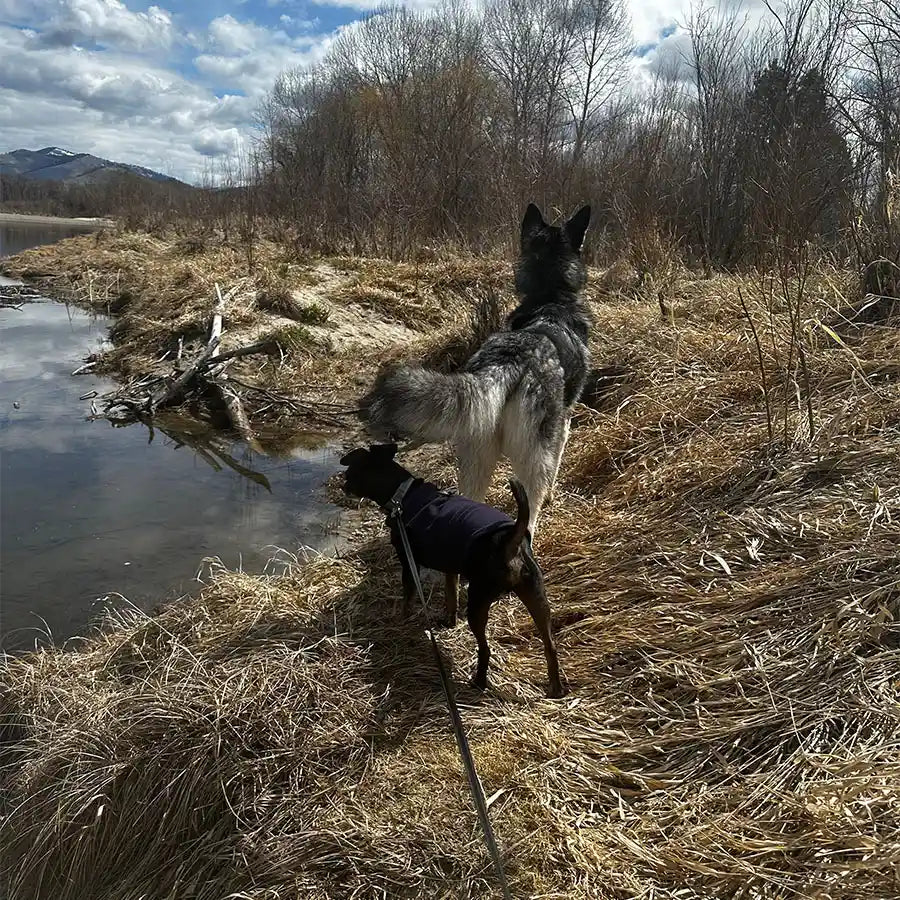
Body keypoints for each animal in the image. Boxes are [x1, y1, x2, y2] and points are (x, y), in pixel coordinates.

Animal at [340, 442, 564, 696]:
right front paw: (449, 622)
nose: (343, 485)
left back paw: (478, 682)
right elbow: (451, 595)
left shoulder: (409, 563)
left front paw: (402, 621)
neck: (402, 495)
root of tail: (510, 541)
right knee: (550, 645)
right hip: (536, 595)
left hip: (479, 601)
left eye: (351, 472)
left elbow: (408, 597)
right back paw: (556, 689)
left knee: (485, 649)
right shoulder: (450, 567)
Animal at [358, 200, 592, 532]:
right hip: (532, 460)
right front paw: (552, 496)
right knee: (531, 511)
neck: (549, 297)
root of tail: (507, 362)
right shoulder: (565, 420)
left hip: (476, 458)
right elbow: (559, 459)